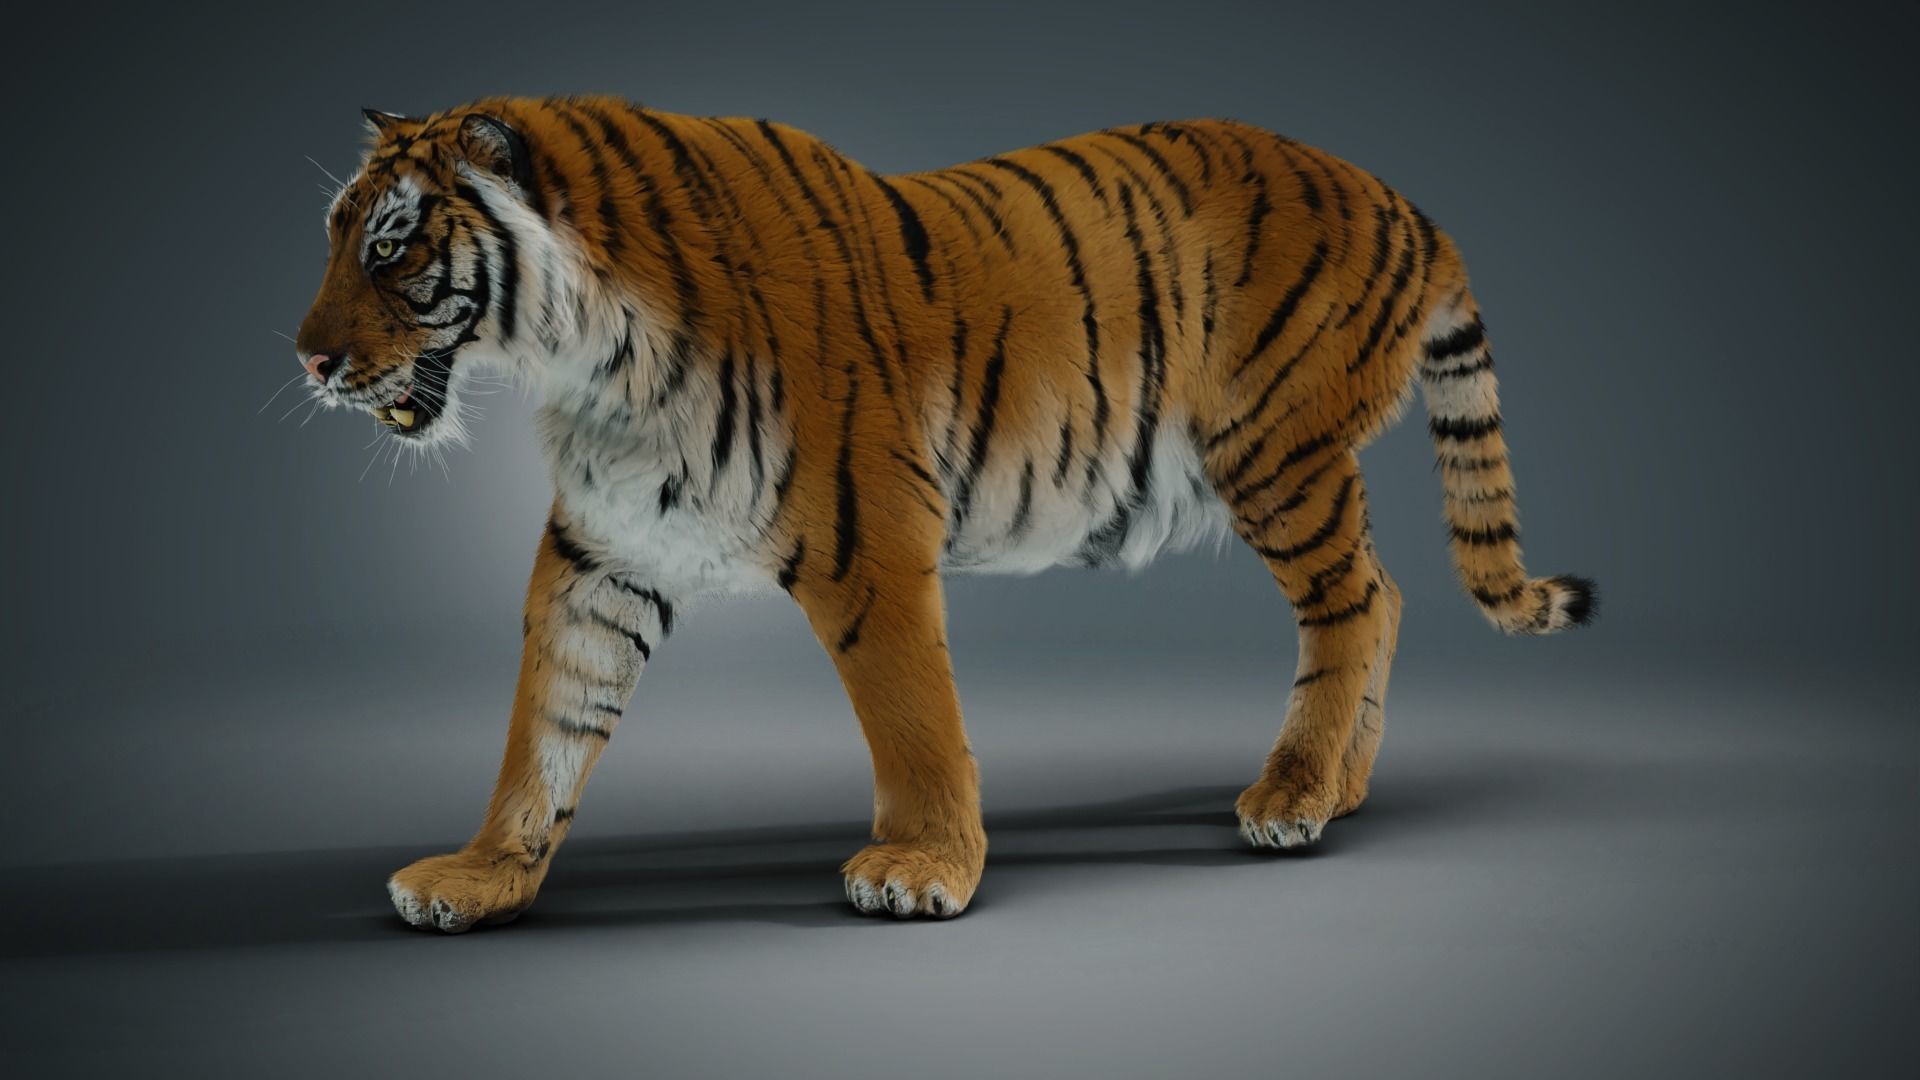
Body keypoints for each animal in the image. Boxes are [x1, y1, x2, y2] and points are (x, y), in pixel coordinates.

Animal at [294, 95, 1594, 931]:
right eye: (335, 238)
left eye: (392, 247)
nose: (305, 359)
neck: (587, 363)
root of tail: (1406, 203)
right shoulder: (601, 552)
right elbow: (547, 723)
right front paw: (483, 876)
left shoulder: (868, 538)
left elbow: (912, 713)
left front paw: (924, 870)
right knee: (1386, 593)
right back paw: (1341, 789)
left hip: (1276, 451)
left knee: (1355, 603)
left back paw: (1293, 795)